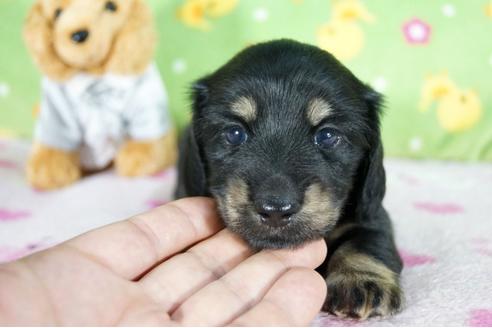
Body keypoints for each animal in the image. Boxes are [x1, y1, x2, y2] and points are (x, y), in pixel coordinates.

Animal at [175, 39, 402, 320]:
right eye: (235, 132)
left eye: (327, 135)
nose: (275, 210)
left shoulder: (372, 213)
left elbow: (368, 240)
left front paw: (362, 280)